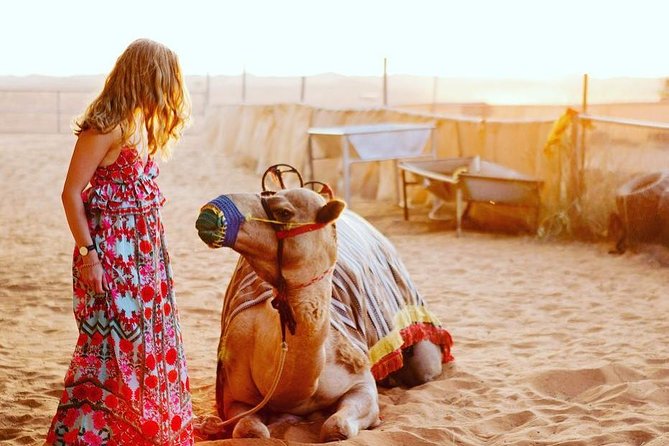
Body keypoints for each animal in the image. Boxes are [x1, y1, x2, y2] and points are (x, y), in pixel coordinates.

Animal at [195, 165, 453, 441]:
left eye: (284, 211)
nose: (212, 210)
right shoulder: (234, 396)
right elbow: (250, 429)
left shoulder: (361, 382)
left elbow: (336, 427)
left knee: (425, 366)